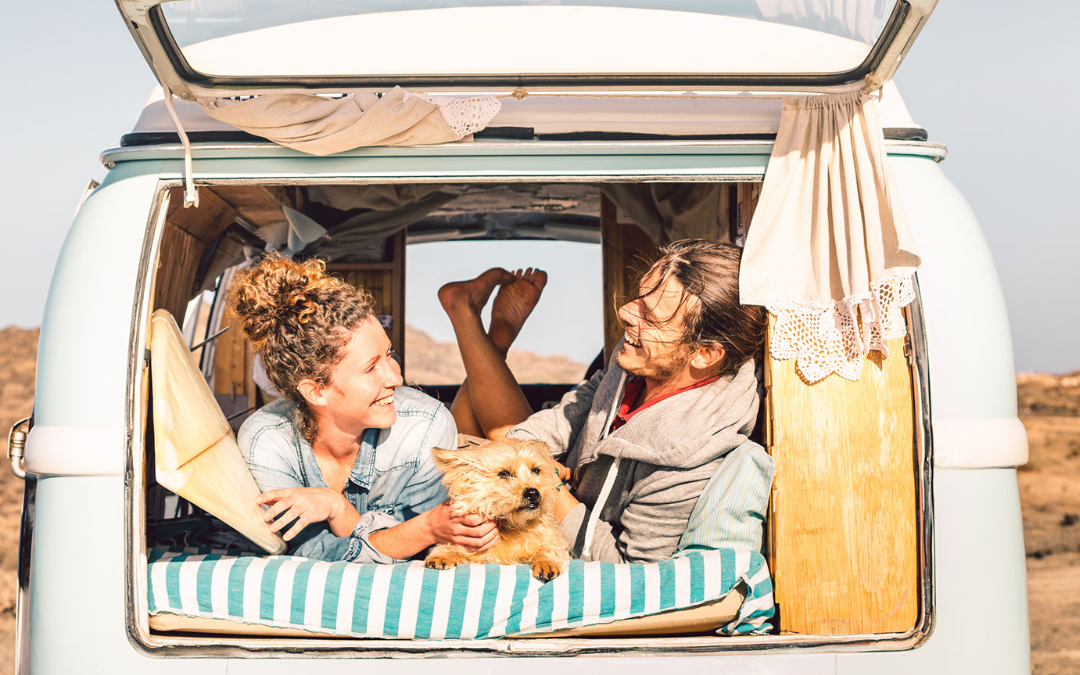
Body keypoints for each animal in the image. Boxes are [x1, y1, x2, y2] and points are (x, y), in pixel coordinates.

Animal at [423, 436, 574, 578]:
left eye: (536, 470)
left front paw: (547, 563)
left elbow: (550, 546)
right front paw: (442, 554)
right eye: (504, 474)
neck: (513, 526)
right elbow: (453, 545)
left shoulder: (552, 537)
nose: (533, 493)